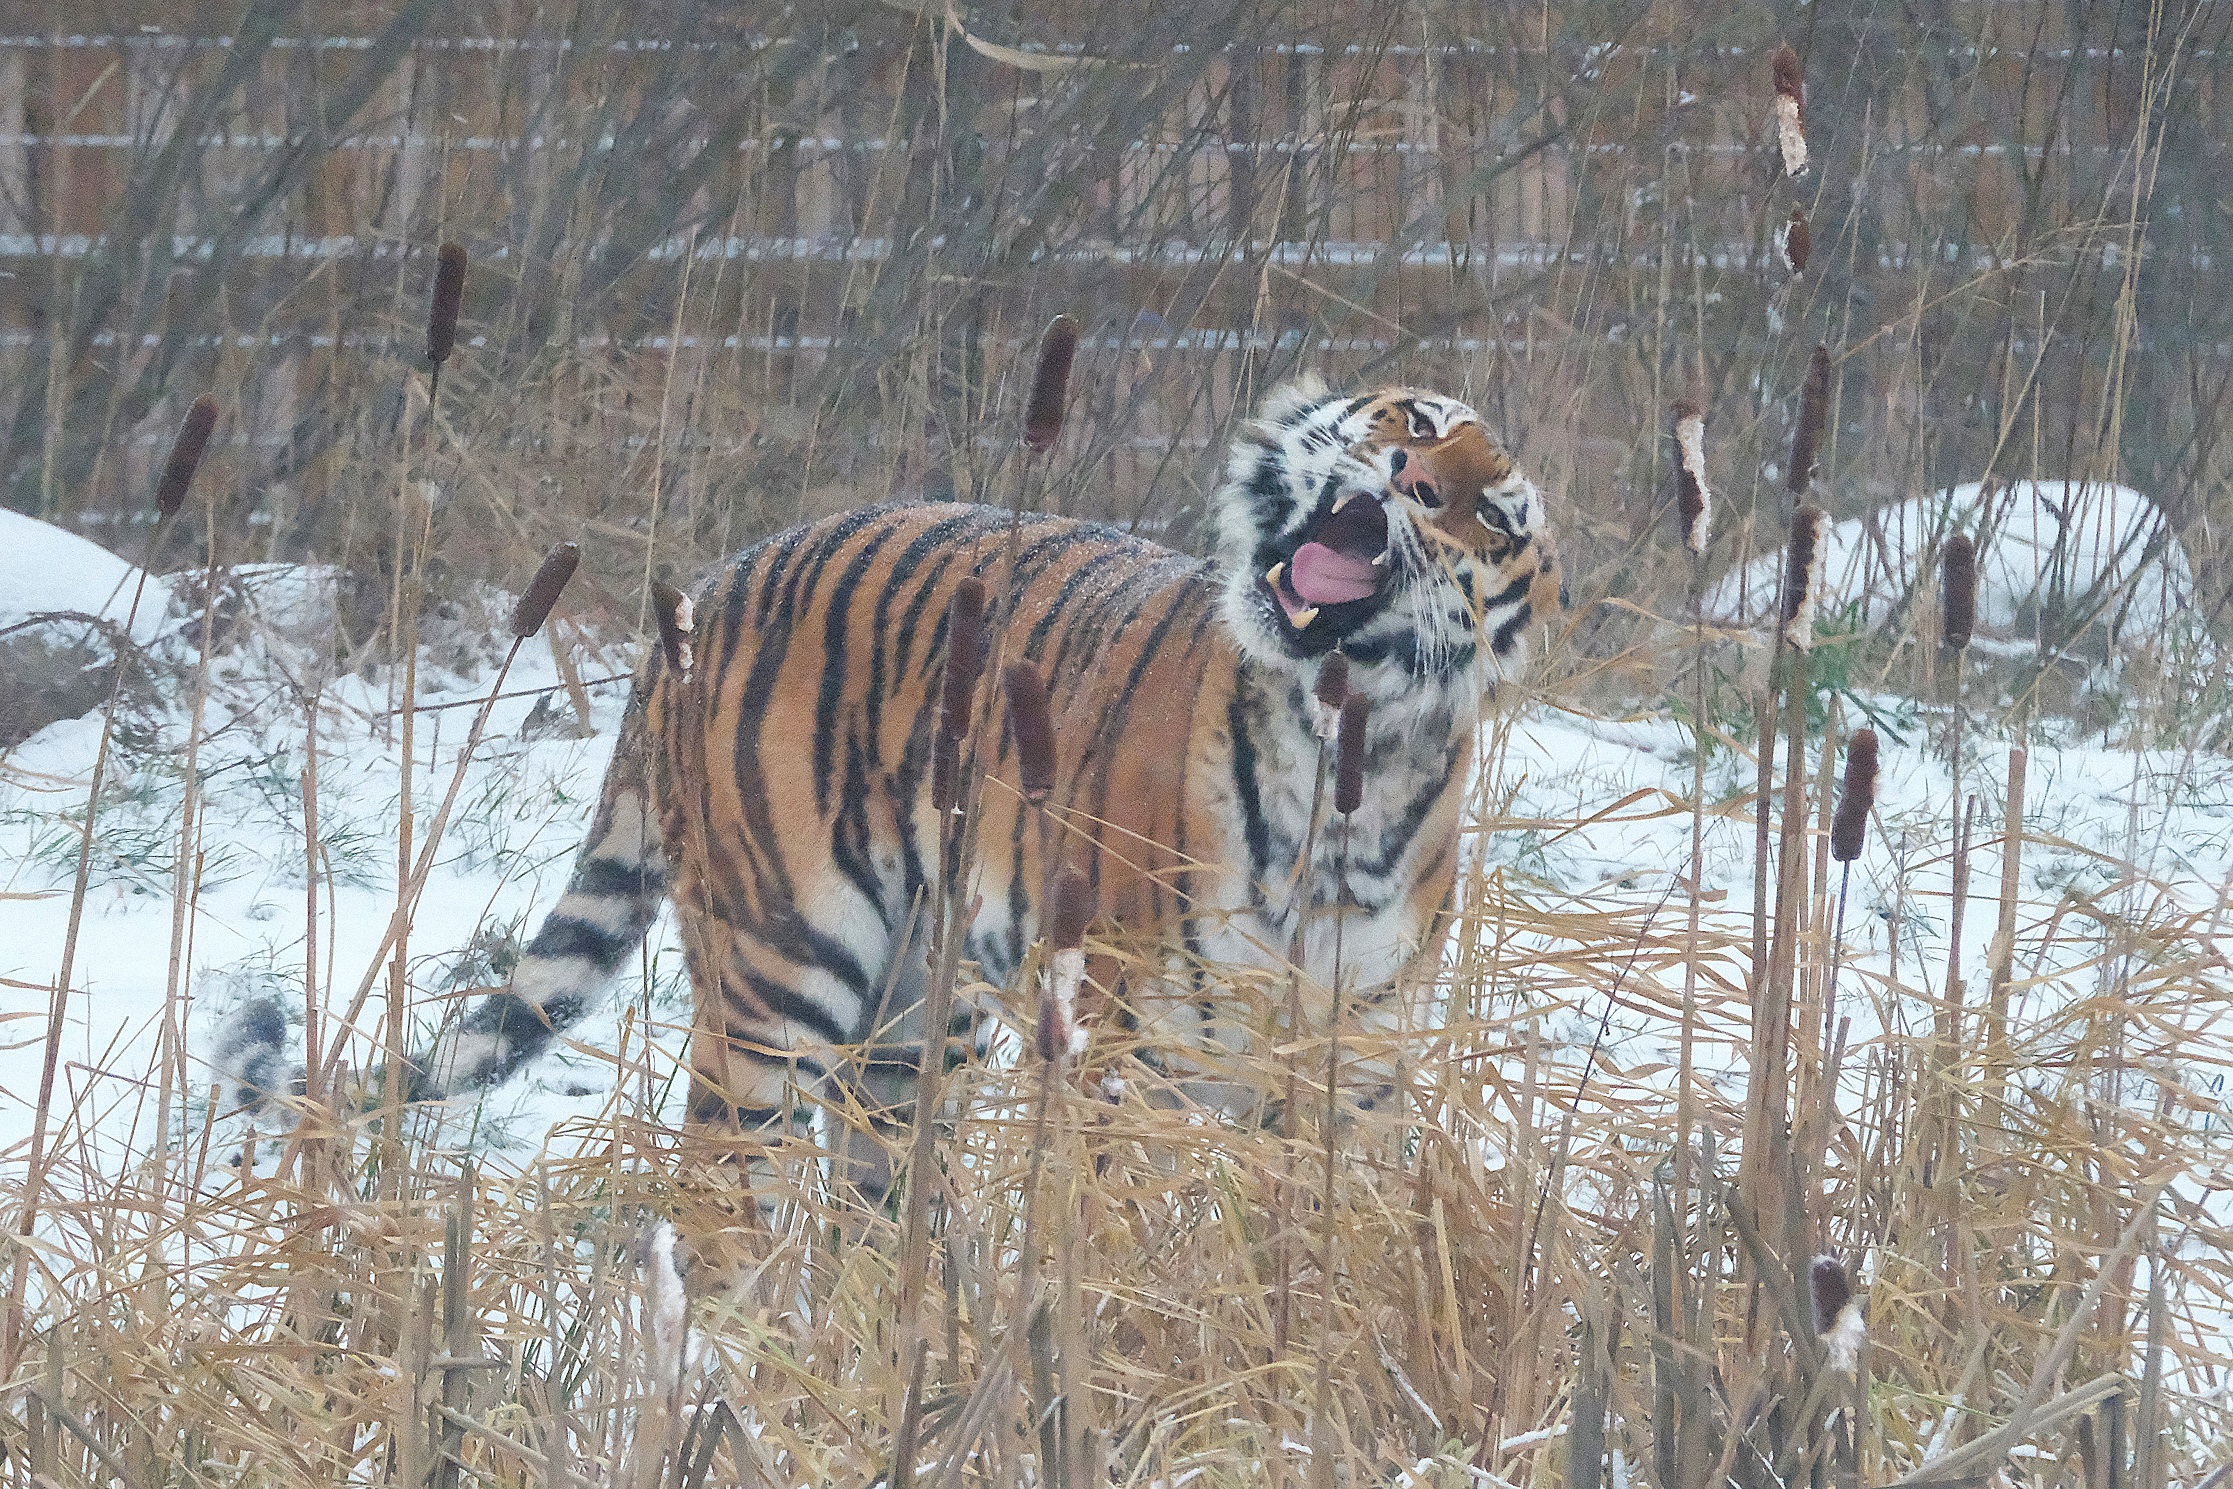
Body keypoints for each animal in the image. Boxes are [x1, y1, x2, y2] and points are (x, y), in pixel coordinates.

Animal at [219, 374, 1560, 1208]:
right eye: (1413, 420)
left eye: (1492, 514)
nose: (1407, 475)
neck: (1346, 757)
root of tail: (700, 601)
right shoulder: (1133, 1065)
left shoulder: (1356, 1076)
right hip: (781, 976)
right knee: (725, 1201)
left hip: (916, 1022)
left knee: (868, 1209)